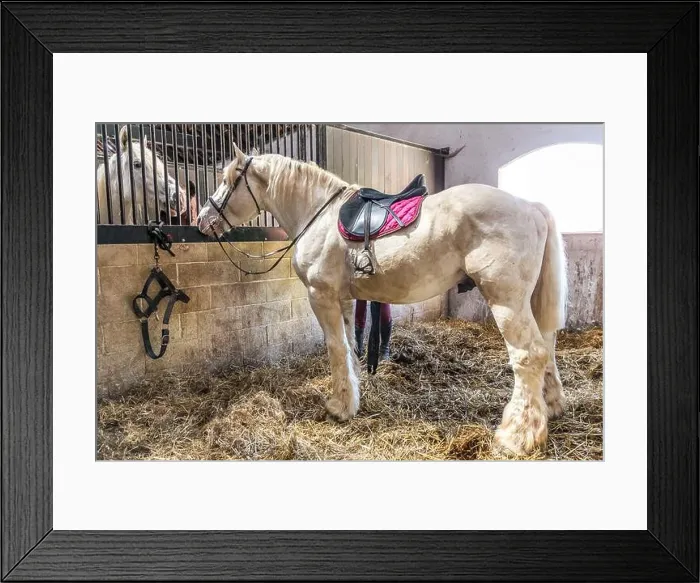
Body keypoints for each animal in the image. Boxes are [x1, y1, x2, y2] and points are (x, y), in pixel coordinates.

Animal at [196, 144, 568, 456]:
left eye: (228, 181)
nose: (202, 221)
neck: (317, 215)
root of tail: (530, 208)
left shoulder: (322, 297)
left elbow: (336, 349)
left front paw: (339, 408)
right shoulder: (345, 301)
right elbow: (349, 348)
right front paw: (350, 399)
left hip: (506, 301)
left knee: (529, 355)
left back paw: (518, 435)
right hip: (529, 303)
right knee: (547, 348)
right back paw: (550, 407)